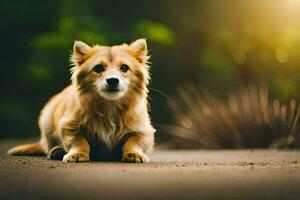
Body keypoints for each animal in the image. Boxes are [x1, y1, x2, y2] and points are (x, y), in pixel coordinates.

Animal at [7, 38, 155, 162]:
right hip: (46, 120)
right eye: (98, 68)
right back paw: (57, 151)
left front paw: (134, 153)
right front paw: (78, 154)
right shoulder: (69, 127)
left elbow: (133, 142)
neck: (109, 107)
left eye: (124, 68)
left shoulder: (143, 131)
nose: (112, 80)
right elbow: (79, 142)